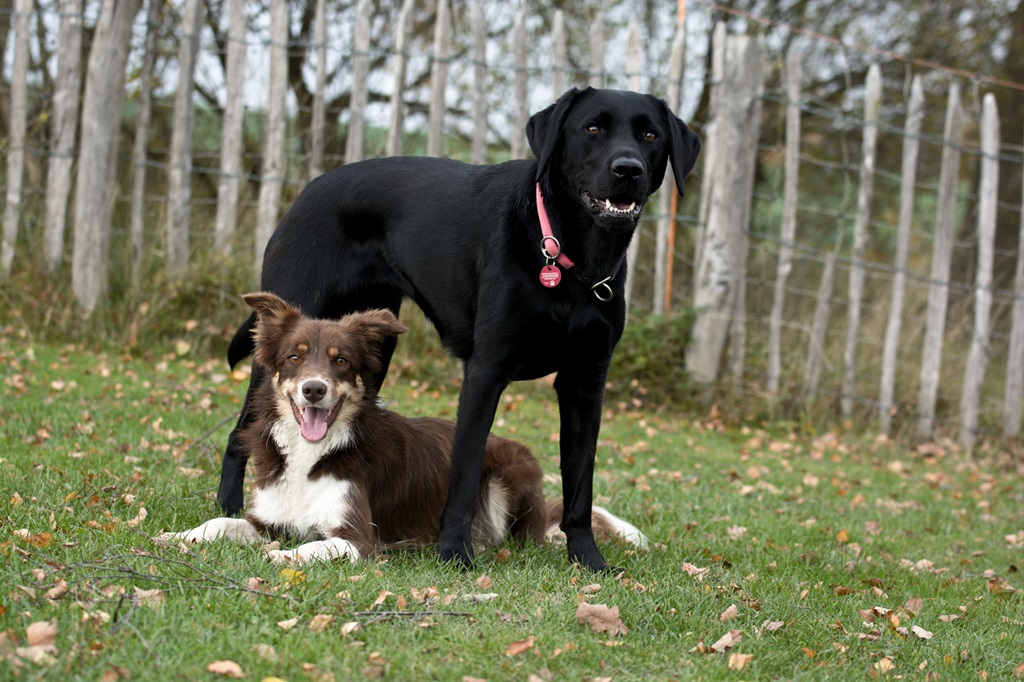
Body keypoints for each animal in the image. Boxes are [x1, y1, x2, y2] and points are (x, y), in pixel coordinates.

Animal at [161, 292, 647, 561]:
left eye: (341, 361)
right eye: (293, 358)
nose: (314, 390)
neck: (311, 455)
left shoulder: (357, 537)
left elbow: (314, 546)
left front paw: (282, 557)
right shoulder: (269, 520)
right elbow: (219, 524)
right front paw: (179, 535)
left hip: (509, 469)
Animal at [215, 87, 696, 569]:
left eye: (650, 135)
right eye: (593, 128)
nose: (627, 170)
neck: (569, 257)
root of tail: (308, 189)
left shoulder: (586, 383)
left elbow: (580, 485)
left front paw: (587, 559)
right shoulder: (485, 373)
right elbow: (464, 474)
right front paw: (454, 554)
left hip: (373, 350)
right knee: (240, 433)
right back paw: (228, 507)